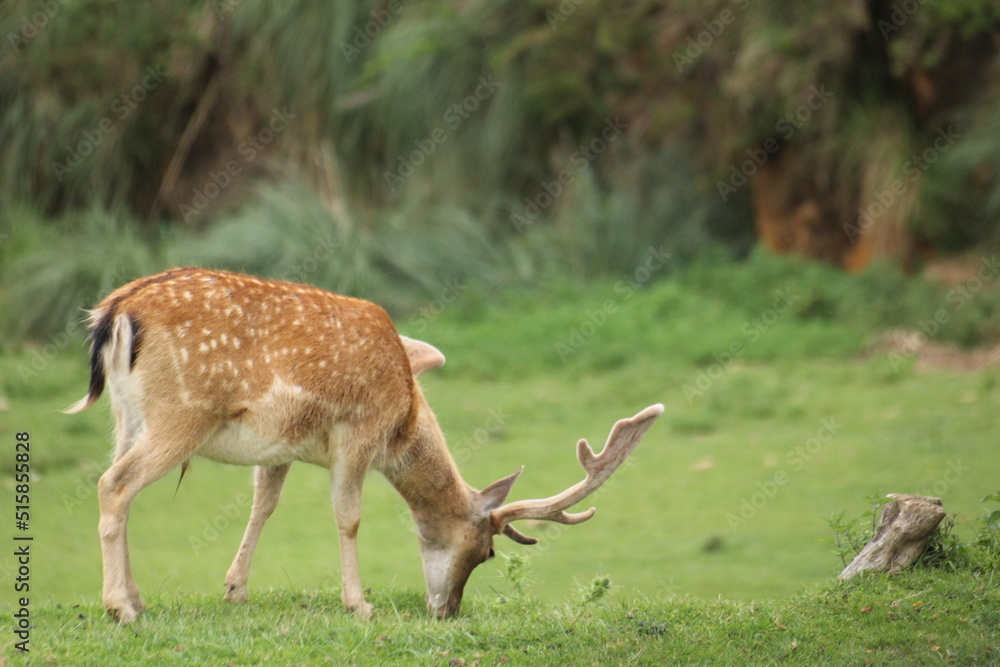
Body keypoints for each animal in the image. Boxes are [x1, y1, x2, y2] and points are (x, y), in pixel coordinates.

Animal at [68, 268, 664, 628]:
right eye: (486, 553)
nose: (448, 610)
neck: (404, 416)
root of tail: (114, 313)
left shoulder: (281, 446)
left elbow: (265, 504)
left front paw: (235, 589)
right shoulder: (357, 433)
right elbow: (348, 517)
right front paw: (360, 603)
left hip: (128, 415)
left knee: (120, 486)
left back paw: (136, 597)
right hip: (183, 412)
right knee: (114, 484)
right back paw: (120, 607)